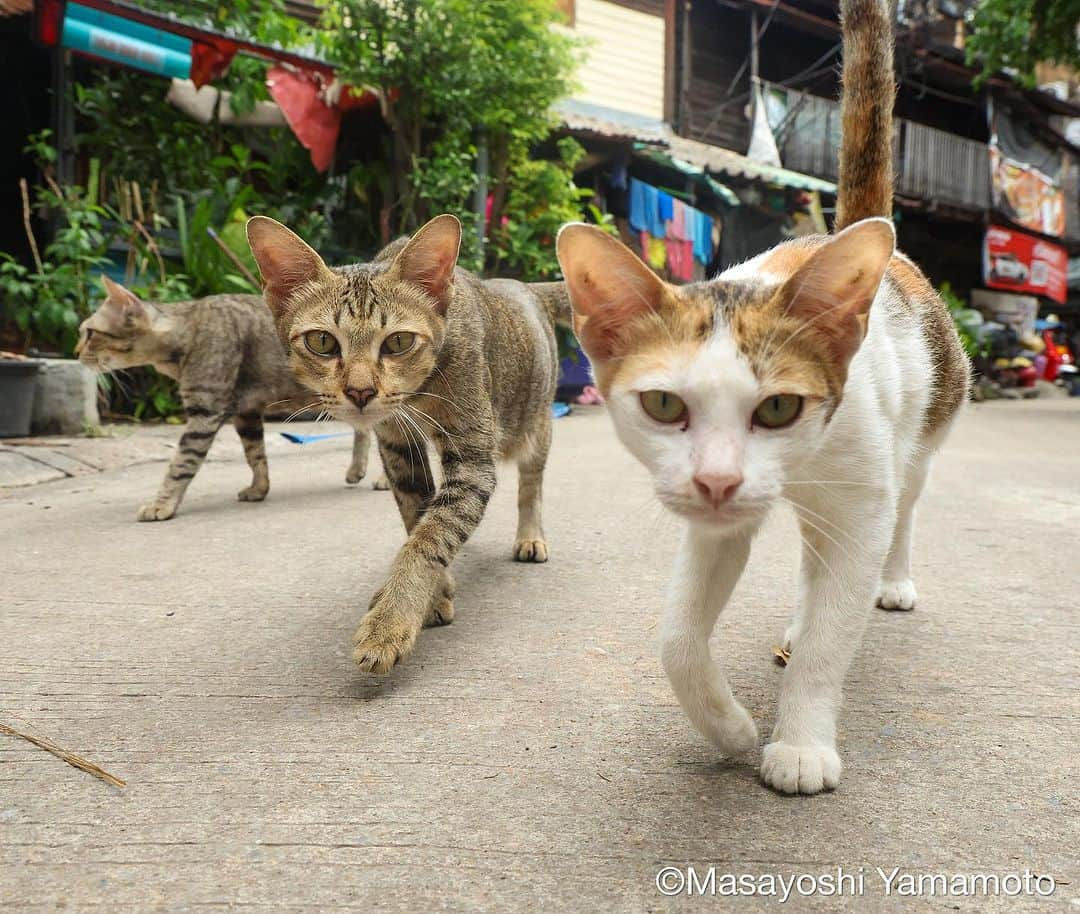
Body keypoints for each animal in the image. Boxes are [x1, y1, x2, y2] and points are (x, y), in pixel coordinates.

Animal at [77, 276, 380, 522]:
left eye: (90, 333)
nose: (75, 352)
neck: (185, 332)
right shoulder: (246, 413)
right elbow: (255, 455)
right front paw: (259, 488)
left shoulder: (205, 413)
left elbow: (180, 464)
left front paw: (161, 504)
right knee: (364, 430)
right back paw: (357, 469)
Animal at [245, 212, 565, 674]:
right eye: (322, 342)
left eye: (398, 341)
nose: (360, 391)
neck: (420, 394)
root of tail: (523, 286)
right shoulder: (398, 448)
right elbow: (418, 519)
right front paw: (435, 594)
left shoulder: (472, 458)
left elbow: (431, 537)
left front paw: (391, 621)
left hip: (533, 424)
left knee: (531, 484)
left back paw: (530, 535)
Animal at [552, 0, 967, 795]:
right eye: (663, 406)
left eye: (778, 408)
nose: (719, 481)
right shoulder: (713, 516)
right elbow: (677, 637)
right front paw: (730, 727)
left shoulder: (861, 494)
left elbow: (837, 630)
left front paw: (801, 742)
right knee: (815, 549)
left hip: (924, 435)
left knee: (902, 512)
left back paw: (891, 581)